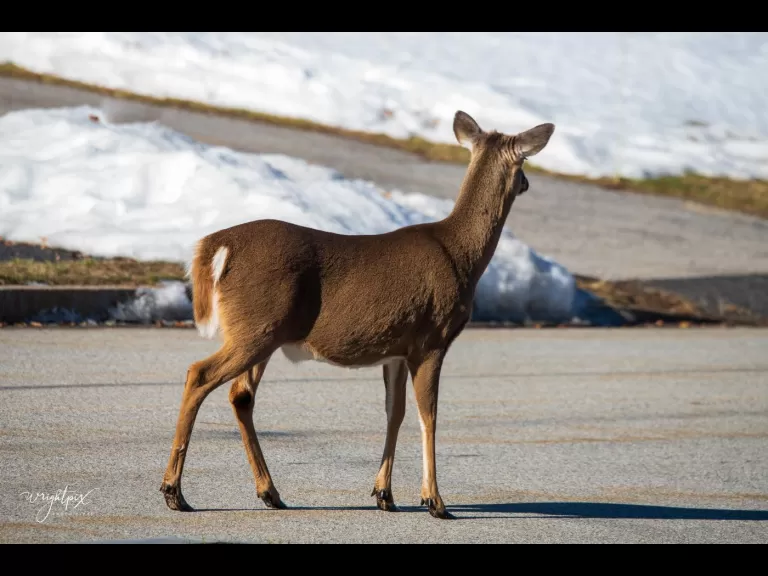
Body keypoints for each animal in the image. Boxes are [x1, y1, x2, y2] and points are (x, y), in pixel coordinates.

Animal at [160, 111, 555, 519]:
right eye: (524, 162)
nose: (527, 183)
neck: (463, 255)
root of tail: (217, 245)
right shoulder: (432, 339)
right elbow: (428, 415)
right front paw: (435, 501)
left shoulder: (397, 349)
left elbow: (394, 412)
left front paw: (385, 494)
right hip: (257, 327)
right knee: (199, 374)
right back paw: (175, 492)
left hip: (260, 331)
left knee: (240, 396)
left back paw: (270, 492)